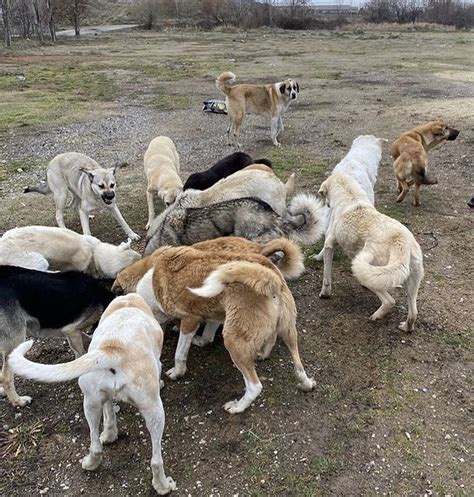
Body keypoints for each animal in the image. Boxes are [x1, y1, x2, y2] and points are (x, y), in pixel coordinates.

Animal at [0, 266, 115, 404]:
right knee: (5, 377)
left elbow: (85, 341)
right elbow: (81, 354)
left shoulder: (70, 332)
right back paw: (18, 401)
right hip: (16, 340)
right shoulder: (71, 330)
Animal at [8, 292, 176, 494]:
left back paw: (90, 463)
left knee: (95, 445)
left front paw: (109, 434)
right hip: (154, 410)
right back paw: (163, 486)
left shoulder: (103, 399)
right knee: (156, 460)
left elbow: (109, 415)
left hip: (90, 403)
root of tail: (112, 350)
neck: (126, 304)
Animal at [318, 172, 422, 332]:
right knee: (413, 313)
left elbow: (326, 275)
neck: (351, 197)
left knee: (389, 301)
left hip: (368, 272)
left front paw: (324, 294)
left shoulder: (329, 244)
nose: (327, 204)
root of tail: (400, 242)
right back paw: (406, 327)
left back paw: (376, 316)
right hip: (411, 281)